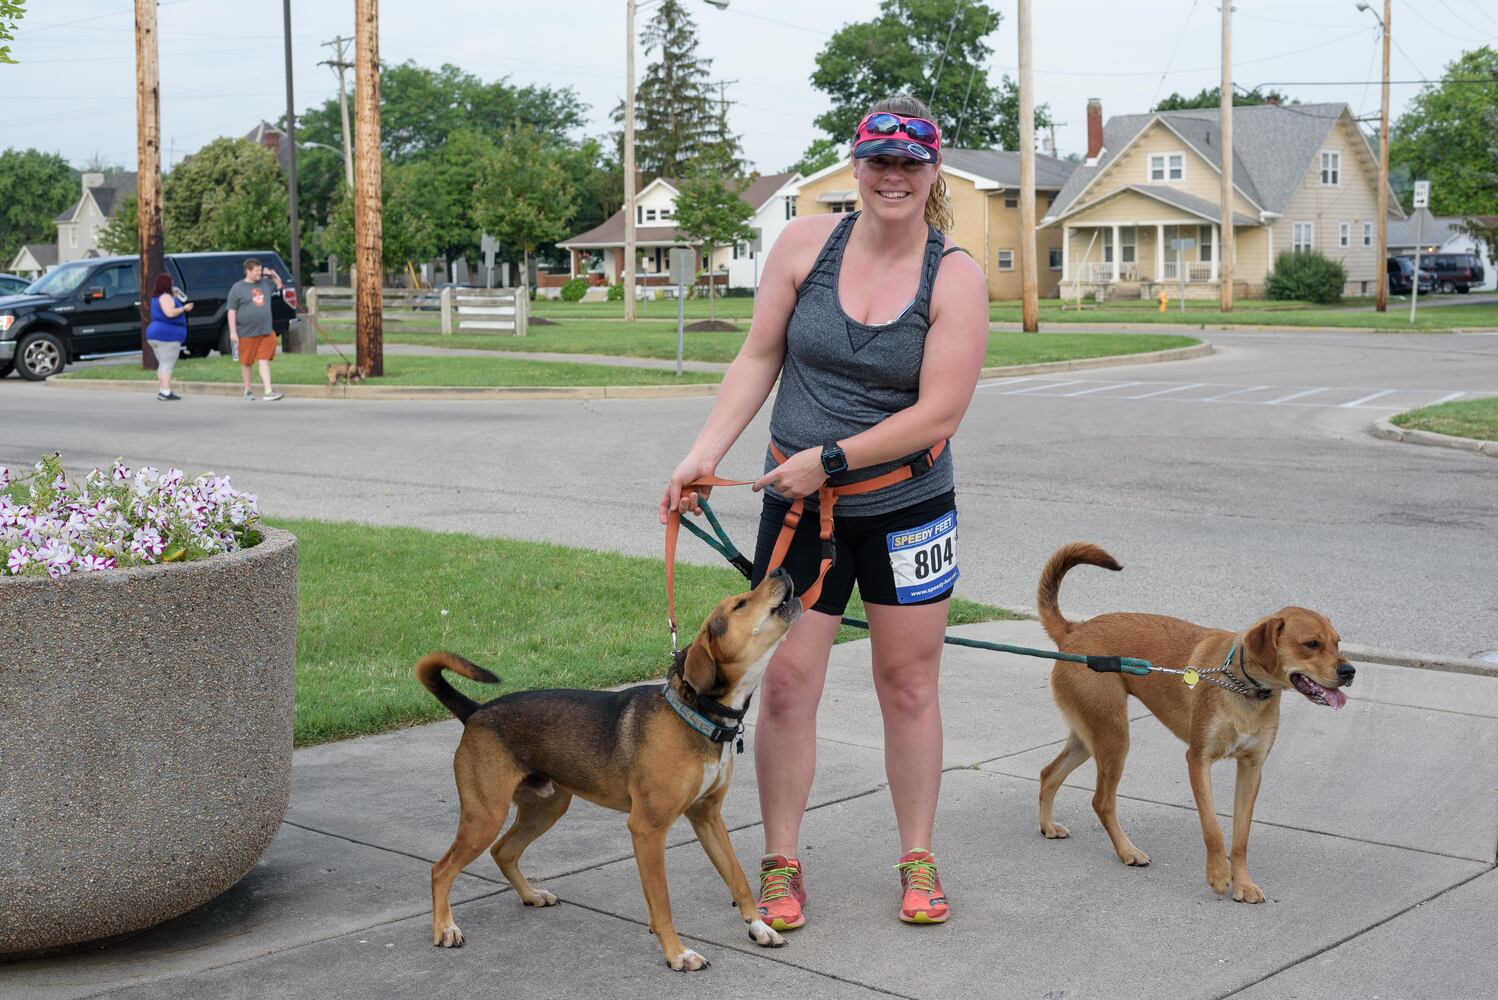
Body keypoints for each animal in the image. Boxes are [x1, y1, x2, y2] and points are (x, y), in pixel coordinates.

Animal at [416, 568, 802, 970]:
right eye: (740, 604)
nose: (780, 570)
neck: (695, 714)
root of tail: (476, 711)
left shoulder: (707, 816)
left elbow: (737, 877)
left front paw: (758, 927)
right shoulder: (647, 828)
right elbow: (662, 901)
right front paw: (677, 953)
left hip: (547, 806)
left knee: (503, 851)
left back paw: (530, 894)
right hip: (484, 816)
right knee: (441, 869)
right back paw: (445, 928)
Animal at [1036, 541, 1354, 904]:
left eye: (1338, 642)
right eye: (1311, 644)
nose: (1350, 671)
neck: (1244, 688)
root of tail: (1074, 630)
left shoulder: (1252, 768)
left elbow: (1240, 838)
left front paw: (1243, 883)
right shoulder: (1198, 760)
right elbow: (1213, 829)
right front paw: (1218, 875)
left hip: (1091, 736)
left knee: (1049, 773)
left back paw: (1048, 825)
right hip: (1114, 737)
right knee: (1101, 801)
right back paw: (1127, 851)